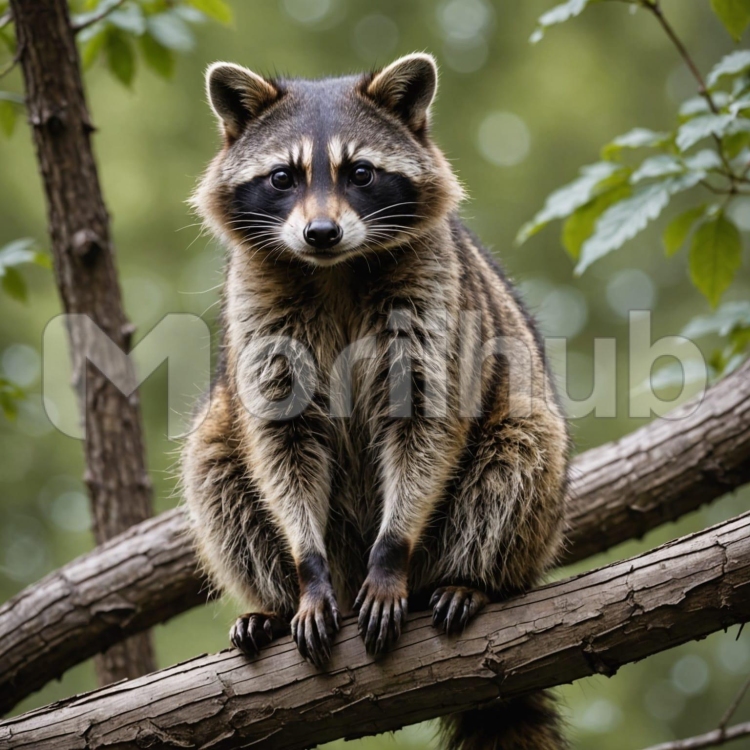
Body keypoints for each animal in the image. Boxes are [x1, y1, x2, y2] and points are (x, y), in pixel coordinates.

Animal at [183, 54, 570, 750]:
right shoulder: (260, 320)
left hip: (532, 471)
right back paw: (273, 605)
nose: (321, 232)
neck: (334, 269)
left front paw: (392, 554)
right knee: (214, 461)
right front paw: (305, 574)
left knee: (520, 449)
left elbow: (428, 424)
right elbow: (280, 443)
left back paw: (472, 579)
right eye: (282, 177)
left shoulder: (436, 304)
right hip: (230, 448)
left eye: (360, 173)